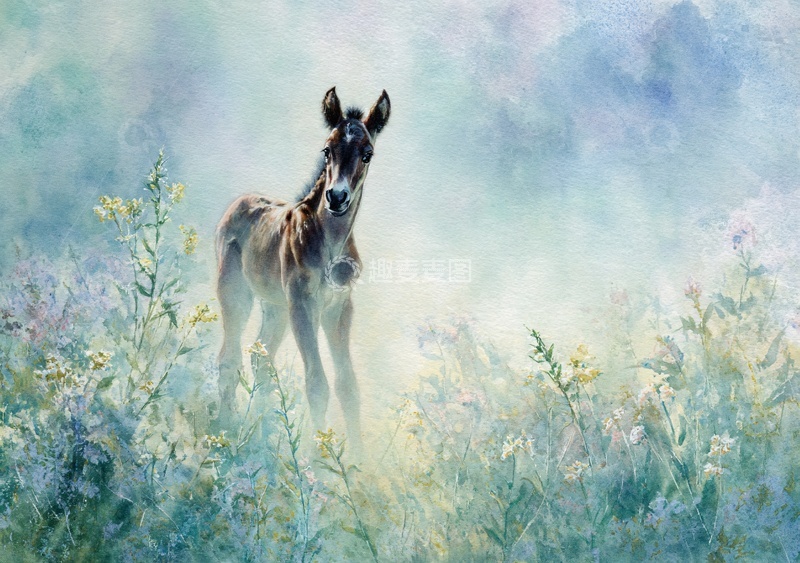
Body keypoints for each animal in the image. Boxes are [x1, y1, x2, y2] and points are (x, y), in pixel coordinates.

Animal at [215, 87, 390, 446]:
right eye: (326, 150)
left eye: (367, 154)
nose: (336, 197)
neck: (329, 245)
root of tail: (239, 203)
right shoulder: (303, 305)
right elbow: (317, 384)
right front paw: (317, 456)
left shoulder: (339, 309)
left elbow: (347, 386)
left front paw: (356, 457)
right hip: (236, 295)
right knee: (229, 358)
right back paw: (226, 433)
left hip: (275, 307)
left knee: (261, 360)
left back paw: (262, 437)